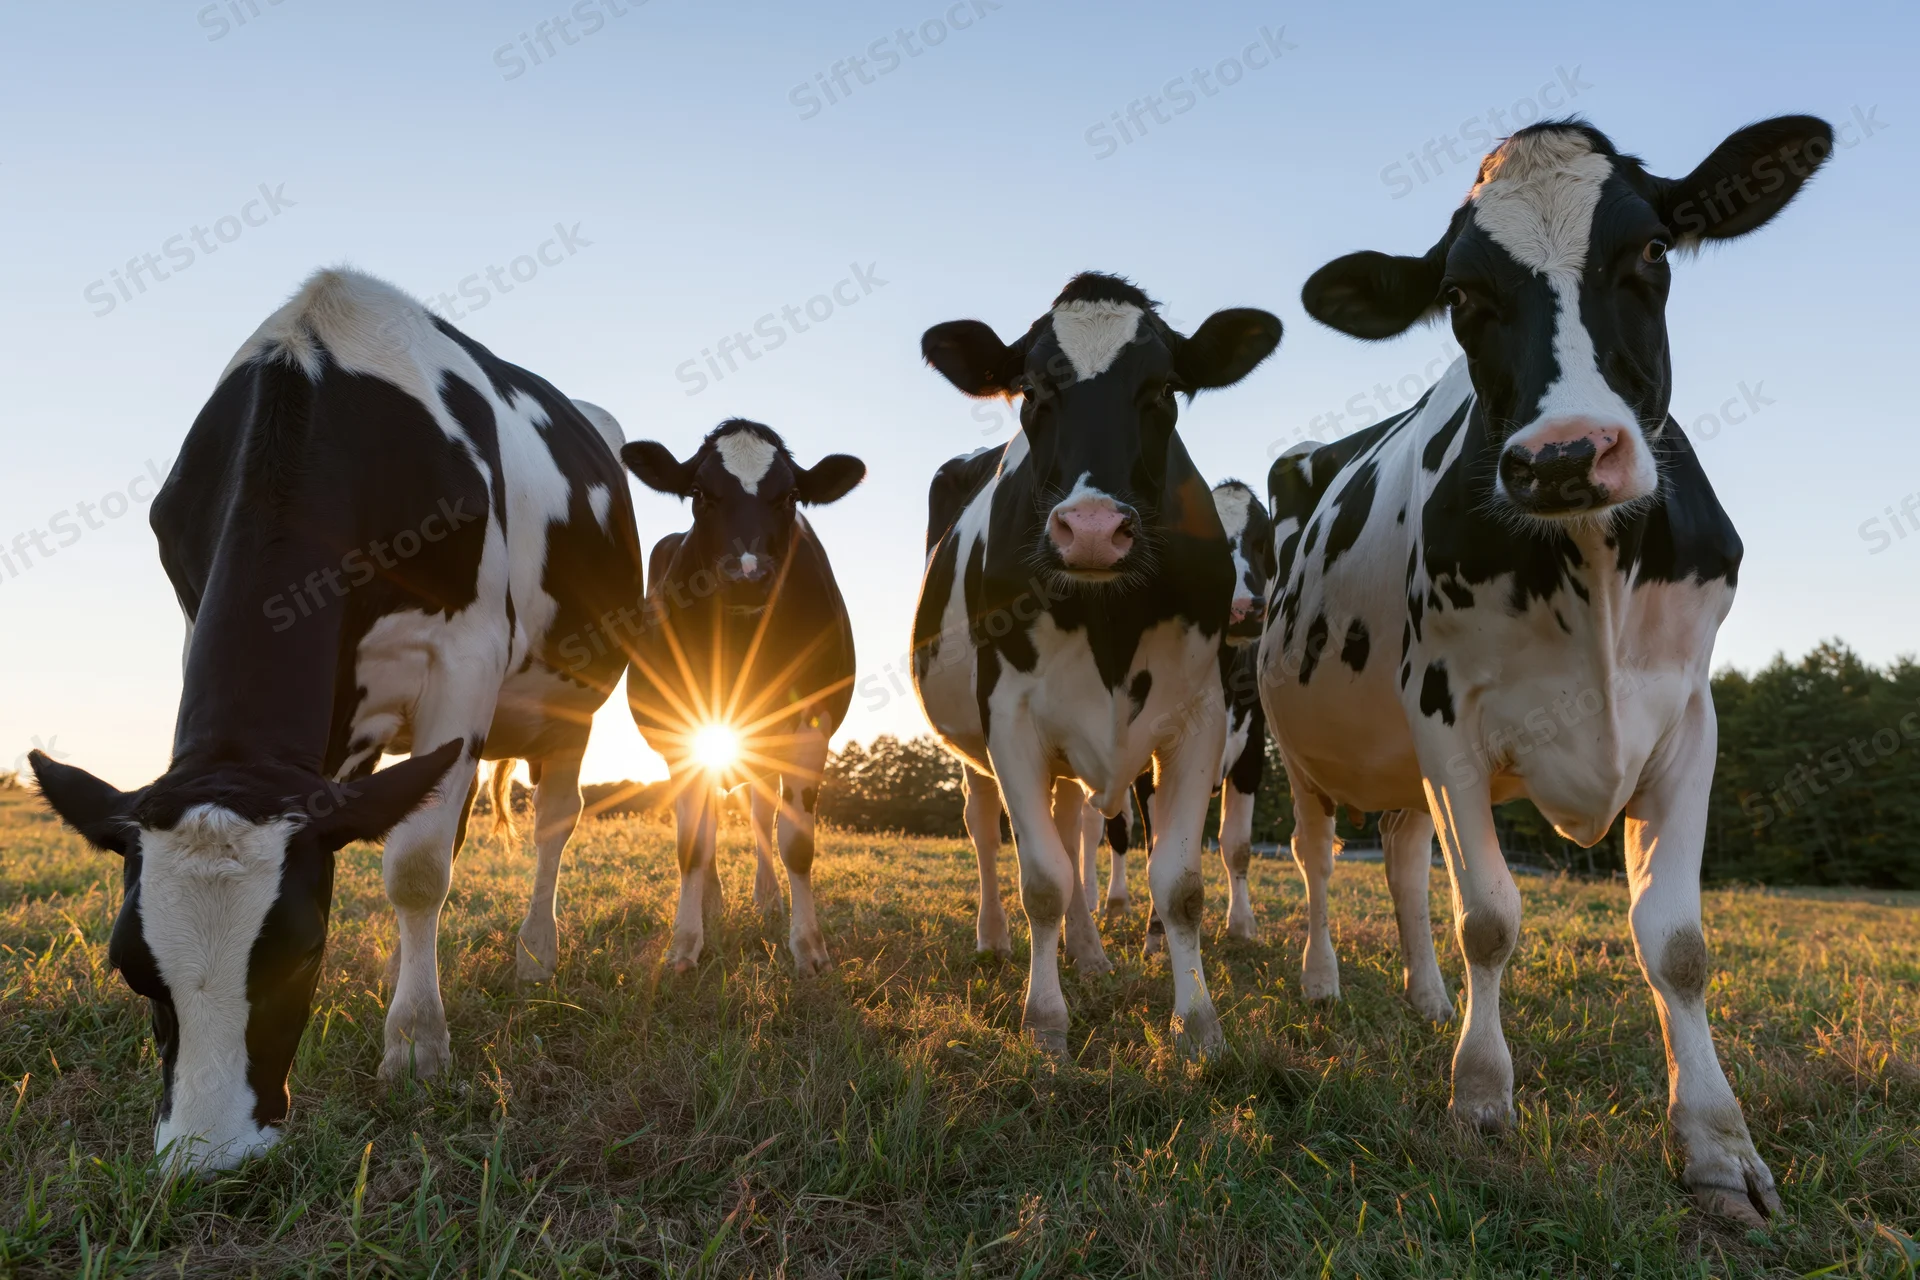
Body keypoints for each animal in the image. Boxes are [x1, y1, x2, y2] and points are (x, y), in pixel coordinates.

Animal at [27, 267, 645, 1170]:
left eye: (303, 952)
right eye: (130, 966)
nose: (209, 1159)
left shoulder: (466, 656)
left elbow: (417, 868)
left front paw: (417, 1048)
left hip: (570, 708)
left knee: (553, 821)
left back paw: (536, 957)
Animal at [619, 420, 864, 976]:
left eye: (791, 495)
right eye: (699, 493)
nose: (747, 573)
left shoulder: (811, 720)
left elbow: (795, 841)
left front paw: (808, 946)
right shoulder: (684, 726)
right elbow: (692, 841)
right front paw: (684, 944)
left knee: (757, 811)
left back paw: (767, 899)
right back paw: (710, 901)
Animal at [913, 272, 1281, 1056]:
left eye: (1164, 388)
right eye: (1030, 389)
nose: (1089, 529)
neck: (1108, 619)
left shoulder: (1201, 720)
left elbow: (1180, 883)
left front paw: (1198, 1023)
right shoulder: (1009, 719)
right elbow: (1044, 881)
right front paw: (1046, 1021)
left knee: (1070, 830)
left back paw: (1088, 953)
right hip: (973, 743)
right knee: (986, 830)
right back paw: (994, 939)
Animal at [1255, 116, 1833, 1224]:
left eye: (1651, 250)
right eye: (1459, 296)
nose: (1565, 455)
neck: (1594, 565)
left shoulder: (1687, 722)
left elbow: (1678, 942)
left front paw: (1718, 1146)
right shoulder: (1446, 720)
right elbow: (1489, 917)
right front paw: (1482, 1098)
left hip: (1403, 773)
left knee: (1401, 861)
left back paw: (1426, 999)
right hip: (1298, 747)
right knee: (1315, 858)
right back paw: (1322, 981)